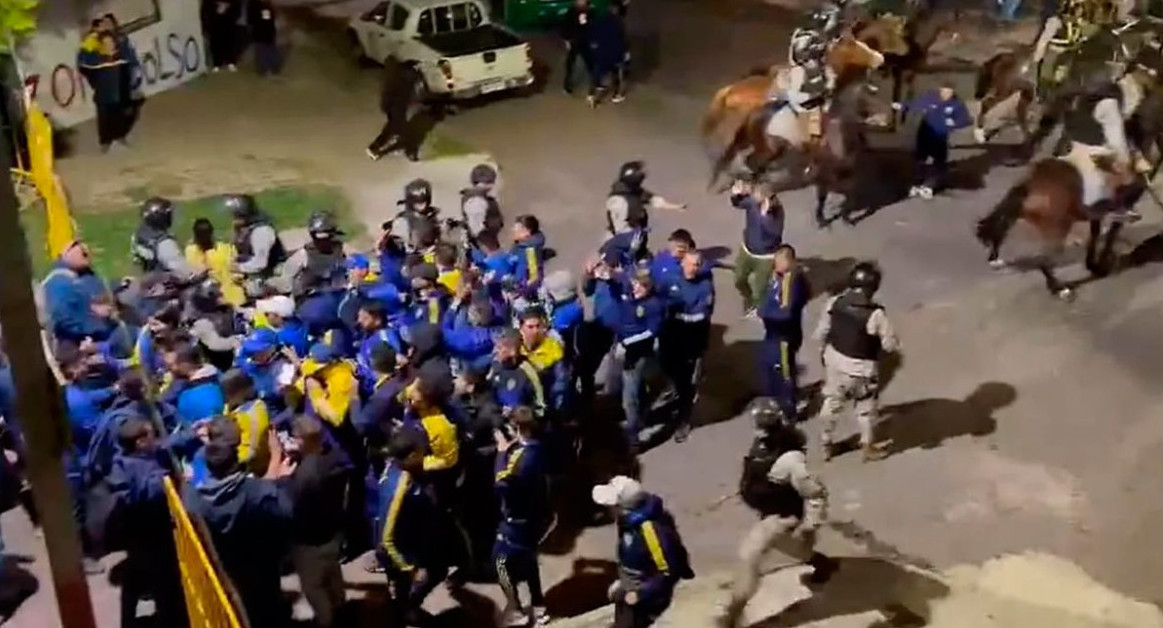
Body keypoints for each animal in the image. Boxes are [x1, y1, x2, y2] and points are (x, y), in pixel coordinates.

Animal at [967, 153, 1139, 297]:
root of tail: (1028, 186)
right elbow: (1100, 235)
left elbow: (1095, 237)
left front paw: (1094, 265)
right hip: (1058, 230)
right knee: (1043, 262)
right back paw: (1060, 289)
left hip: (1018, 218)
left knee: (999, 232)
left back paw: (995, 260)